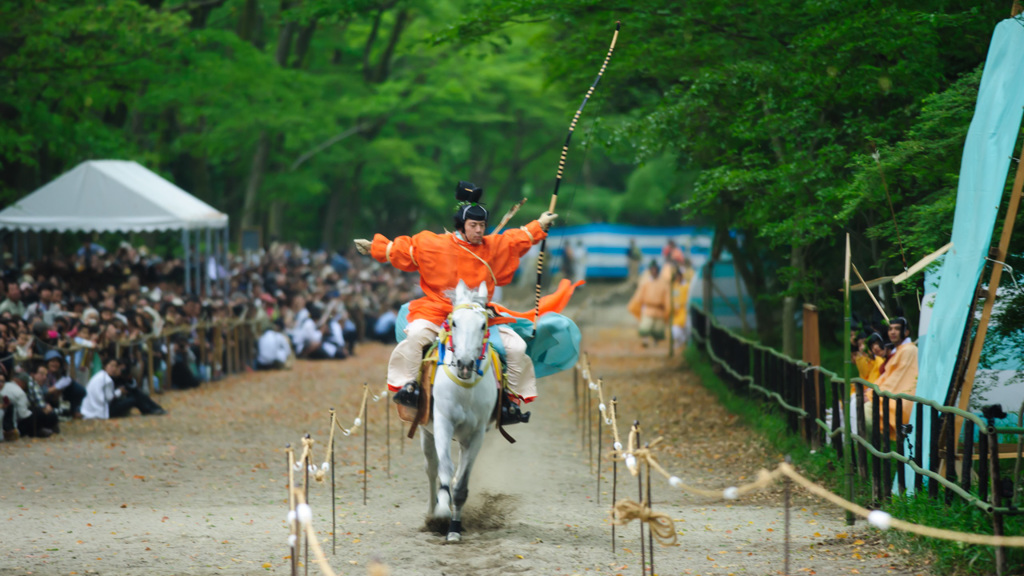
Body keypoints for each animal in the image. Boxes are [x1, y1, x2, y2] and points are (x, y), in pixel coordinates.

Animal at [419, 280, 499, 541]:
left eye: (483, 324)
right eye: (454, 322)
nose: (464, 364)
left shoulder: (476, 434)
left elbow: (461, 485)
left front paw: (454, 528)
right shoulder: (443, 423)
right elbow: (445, 469)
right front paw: (442, 512)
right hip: (426, 432)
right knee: (432, 468)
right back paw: (431, 512)